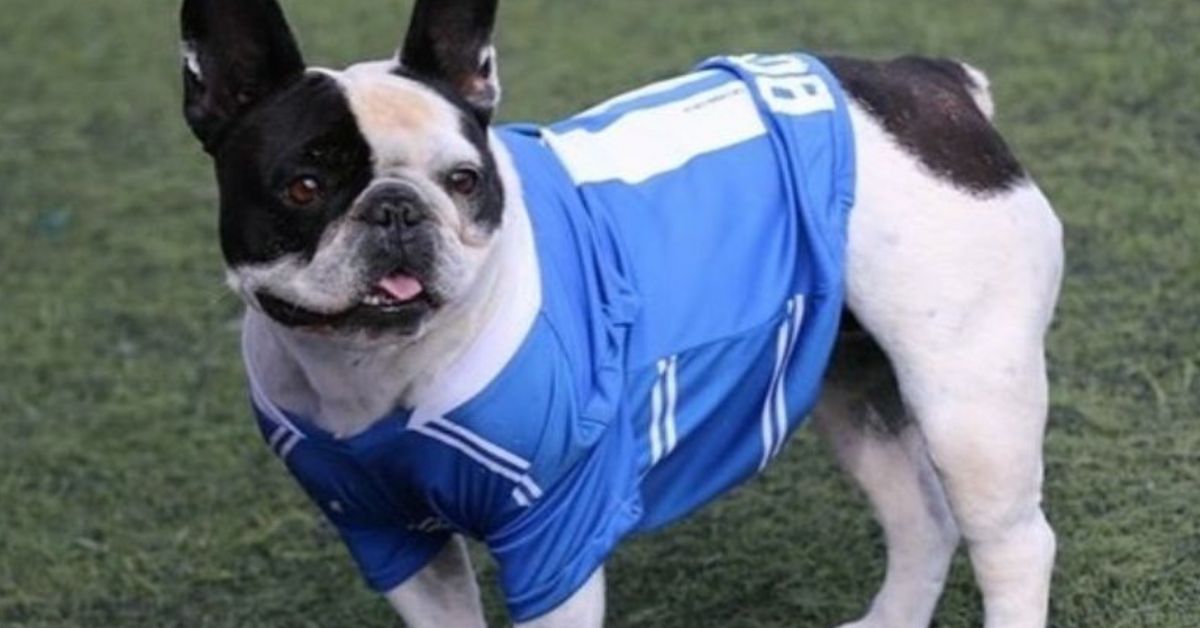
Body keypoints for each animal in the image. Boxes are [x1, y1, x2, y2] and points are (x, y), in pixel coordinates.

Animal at [179, 0, 1063, 626]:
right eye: (303, 187)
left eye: (465, 180)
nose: (398, 209)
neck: (373, 367)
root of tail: (930, 81)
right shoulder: (391, 541)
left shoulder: (555, 543)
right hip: (852, 391)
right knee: (922, 520)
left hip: (968, 399)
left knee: (1014, 544)